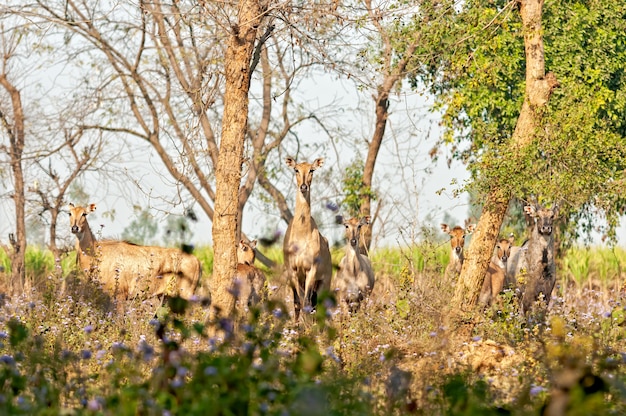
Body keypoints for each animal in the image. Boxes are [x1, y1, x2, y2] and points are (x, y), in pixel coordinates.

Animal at [68, 203, 200, 300]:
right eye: (70, 213)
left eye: (84, 214)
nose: (74, 228)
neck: (96, 253)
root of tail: (197, 260)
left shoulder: (120, 294)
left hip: (185, 295)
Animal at [282, 158, 332, 320]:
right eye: (296, 169)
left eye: (312, 170)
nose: (303, 186)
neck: (302, 234)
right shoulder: (292, 269)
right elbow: (297, 302)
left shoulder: (311, 269)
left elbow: (306, 303)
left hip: (323, 282)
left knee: (319, 305)